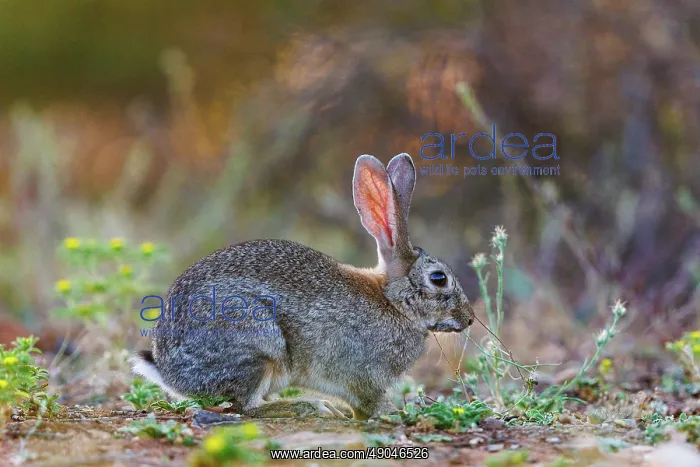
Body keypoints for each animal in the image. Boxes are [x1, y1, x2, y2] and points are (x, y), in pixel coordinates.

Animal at [131, 153, 475, 420]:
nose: (469, 318)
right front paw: (394, 414)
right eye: (439, 279)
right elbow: (371, 403)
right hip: (257, 345)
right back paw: (311, 406)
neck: (393, 301)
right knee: (247, 407)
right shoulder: (366, 375)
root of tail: (169, 372)